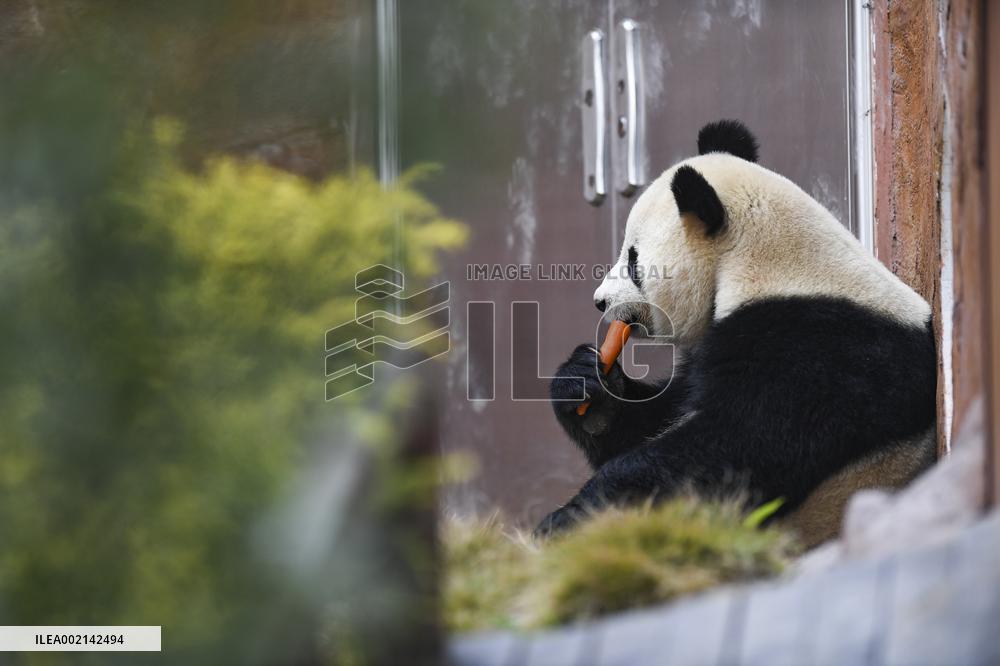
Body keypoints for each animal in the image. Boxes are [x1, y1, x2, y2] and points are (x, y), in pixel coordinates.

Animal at [536, 120, 937, 547]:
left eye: (633, 261)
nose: (600, 301)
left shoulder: (817, 349)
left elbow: (737, 448)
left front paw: (571, 516)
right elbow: (658, 415)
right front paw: (587, 385)